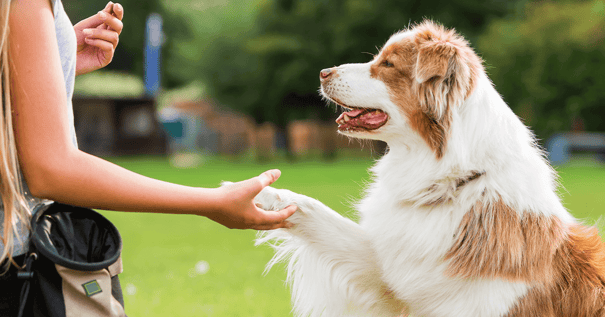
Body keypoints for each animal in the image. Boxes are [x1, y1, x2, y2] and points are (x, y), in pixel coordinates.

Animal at [254, 21, 604, 314]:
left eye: (388, 64)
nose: (323, 72)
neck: (451, 182)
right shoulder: (395, 270)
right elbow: (315, 211)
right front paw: (259, 195)